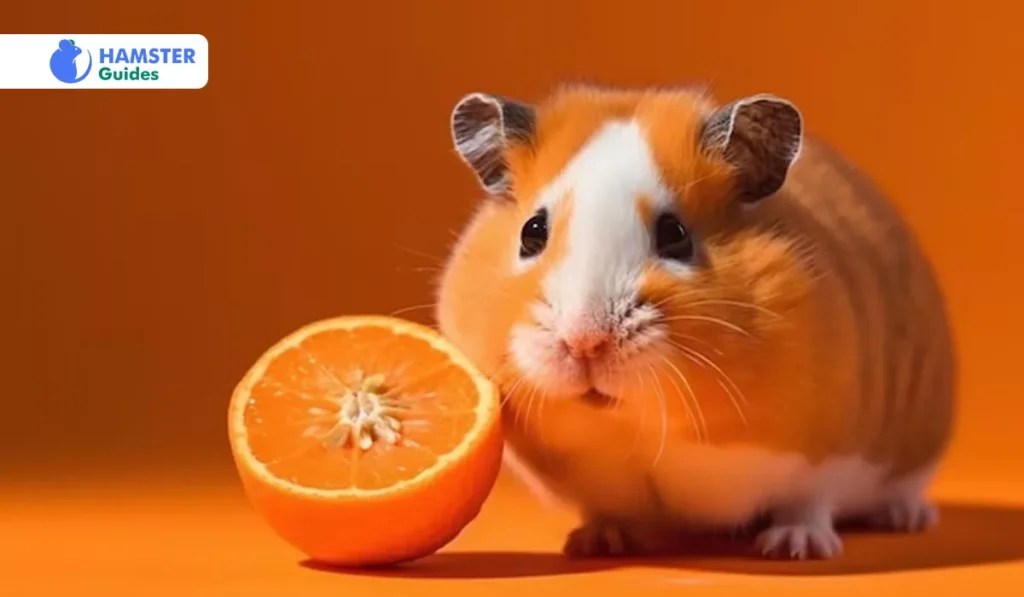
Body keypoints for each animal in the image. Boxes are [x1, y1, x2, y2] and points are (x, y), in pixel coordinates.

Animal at [436, 85, 955, 560]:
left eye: (675, 235)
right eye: (532, 232)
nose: (585, 342)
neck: (635, 429)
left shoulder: (826, 455)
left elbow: (807, 504)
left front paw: (794, 548)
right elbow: (604, 512)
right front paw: (594, 543)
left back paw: (904, 519)